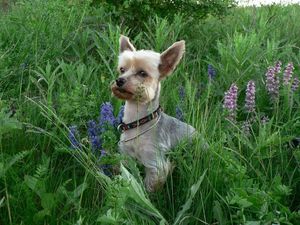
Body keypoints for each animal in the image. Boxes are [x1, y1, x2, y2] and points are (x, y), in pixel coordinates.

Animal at [111, 35, 196, 192]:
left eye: (142, 73)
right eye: (122, 69)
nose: (119, 80)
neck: (138, 122)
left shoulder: (155, 163)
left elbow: (150, 187)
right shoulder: (125, 154)